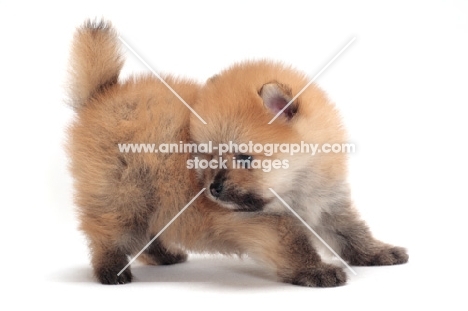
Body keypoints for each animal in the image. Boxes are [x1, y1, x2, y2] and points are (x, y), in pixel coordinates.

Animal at [66, 19, 344, 288]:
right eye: (210, 157)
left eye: (244, 158)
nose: (213, 188)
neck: (300, 182)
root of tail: (102, 94)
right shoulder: (265, 222)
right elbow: (294, 246)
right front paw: (316, 271)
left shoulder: (328, 200)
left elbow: (346, 229)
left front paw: (357, 256)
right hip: (124, 196)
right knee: (108, 235)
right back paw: (112, 270)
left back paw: (164, 255)